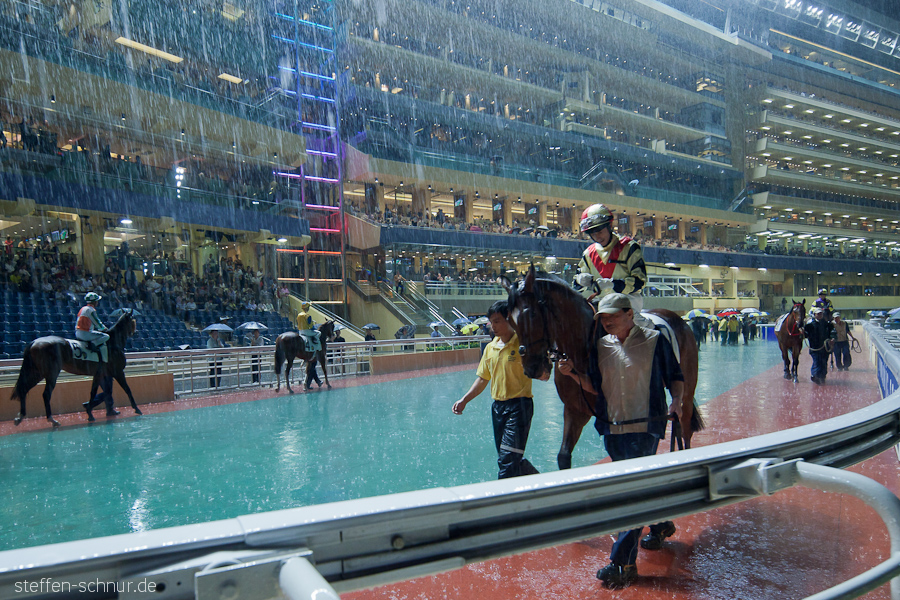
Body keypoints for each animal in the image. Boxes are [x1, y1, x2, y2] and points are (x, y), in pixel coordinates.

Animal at [9, 310, 142, 426]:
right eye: (133, 320)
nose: (134, 332)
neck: (113, 343)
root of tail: (33, 342)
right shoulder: (118, 372)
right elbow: (127, 389)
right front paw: (137, 409)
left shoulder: (99, 374)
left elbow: (95, 392)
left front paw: (89, 412)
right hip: (51, 374)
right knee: (46, 394)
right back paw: (52, 420)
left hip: (36, 373)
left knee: (23, 389)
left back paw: (20, 417)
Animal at [506, 266, 704, 468]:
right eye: (510, 320)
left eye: (532, 314)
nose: (531, 368)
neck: (581, 349)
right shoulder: (574, 409)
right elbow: (563, 455)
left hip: (687, 392)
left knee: (685, 429)